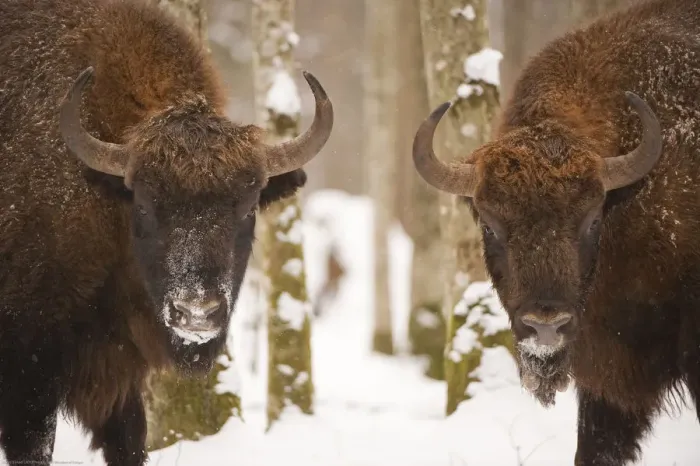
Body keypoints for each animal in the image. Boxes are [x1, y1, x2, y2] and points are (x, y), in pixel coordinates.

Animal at [0, 0, 333, 464]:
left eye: (248, 207)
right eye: (144, 204)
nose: (197, 314)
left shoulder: (118, 383)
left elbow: (130, 440)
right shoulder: (28, 381)